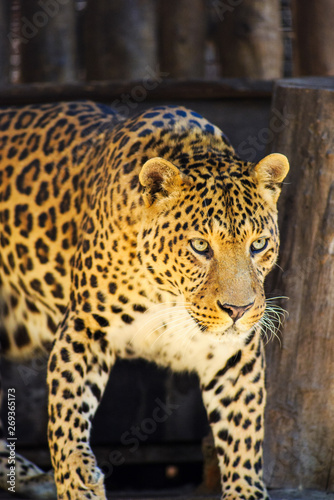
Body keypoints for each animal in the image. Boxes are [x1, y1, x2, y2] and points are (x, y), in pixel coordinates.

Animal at [0, 99, 288, 498]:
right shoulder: (84, 326)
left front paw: (246, 491)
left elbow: (243, 433)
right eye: (200, 246)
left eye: (258, 244)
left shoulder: (235, 352)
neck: (167, 295)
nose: (238, 309)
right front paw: (77, 480)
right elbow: (66, 414)